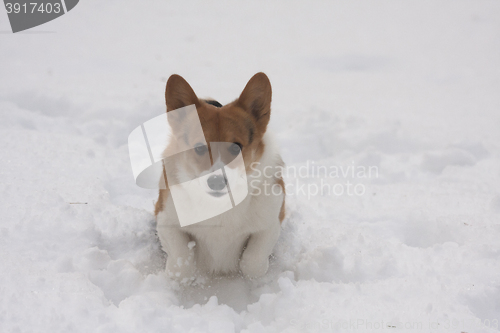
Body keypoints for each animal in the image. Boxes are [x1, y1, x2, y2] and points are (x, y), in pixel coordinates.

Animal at [154, 72, 286, 280]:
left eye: (236, 147)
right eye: (199, 148)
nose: (216, 182)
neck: (220, 205)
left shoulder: (270, 224)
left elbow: (253, 263)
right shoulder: (165, 220)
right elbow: (181, 263)